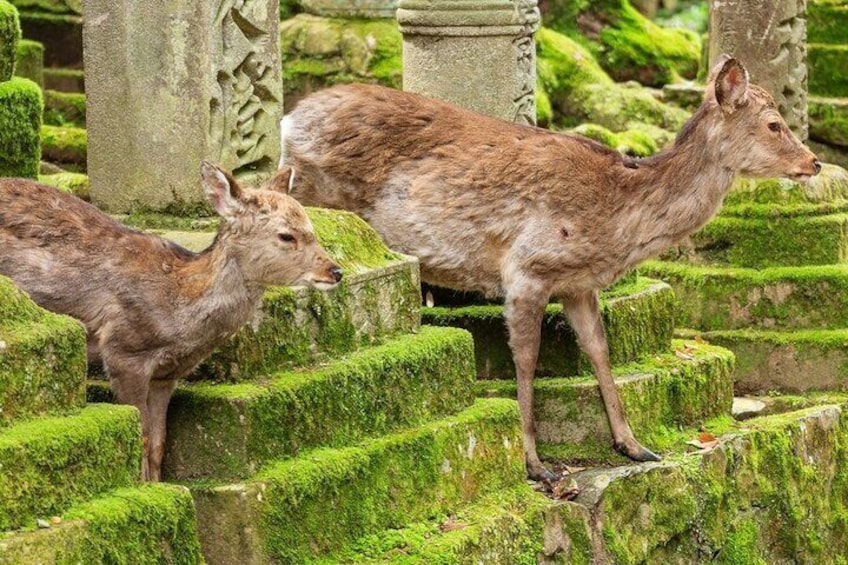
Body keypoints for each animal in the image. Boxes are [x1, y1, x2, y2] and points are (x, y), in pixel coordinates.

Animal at [1, 162, 344, 480]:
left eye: (312, 227)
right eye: (286, 235)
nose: (335, 271)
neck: (178, 306)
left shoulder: (167, 374)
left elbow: (158, 444)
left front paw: (157, 484)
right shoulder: (124, 352)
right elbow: (140, 437)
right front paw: (146, 490)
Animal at [278, 56, 820, 480]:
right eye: (774, 124)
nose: (814, 163)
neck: (617, 219)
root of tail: (290, 119)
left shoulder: (579, 284)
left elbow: (600, 350)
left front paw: (634, 445)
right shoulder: (528, 267)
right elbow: (527, 359)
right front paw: (534, 463)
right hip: (315, 192)